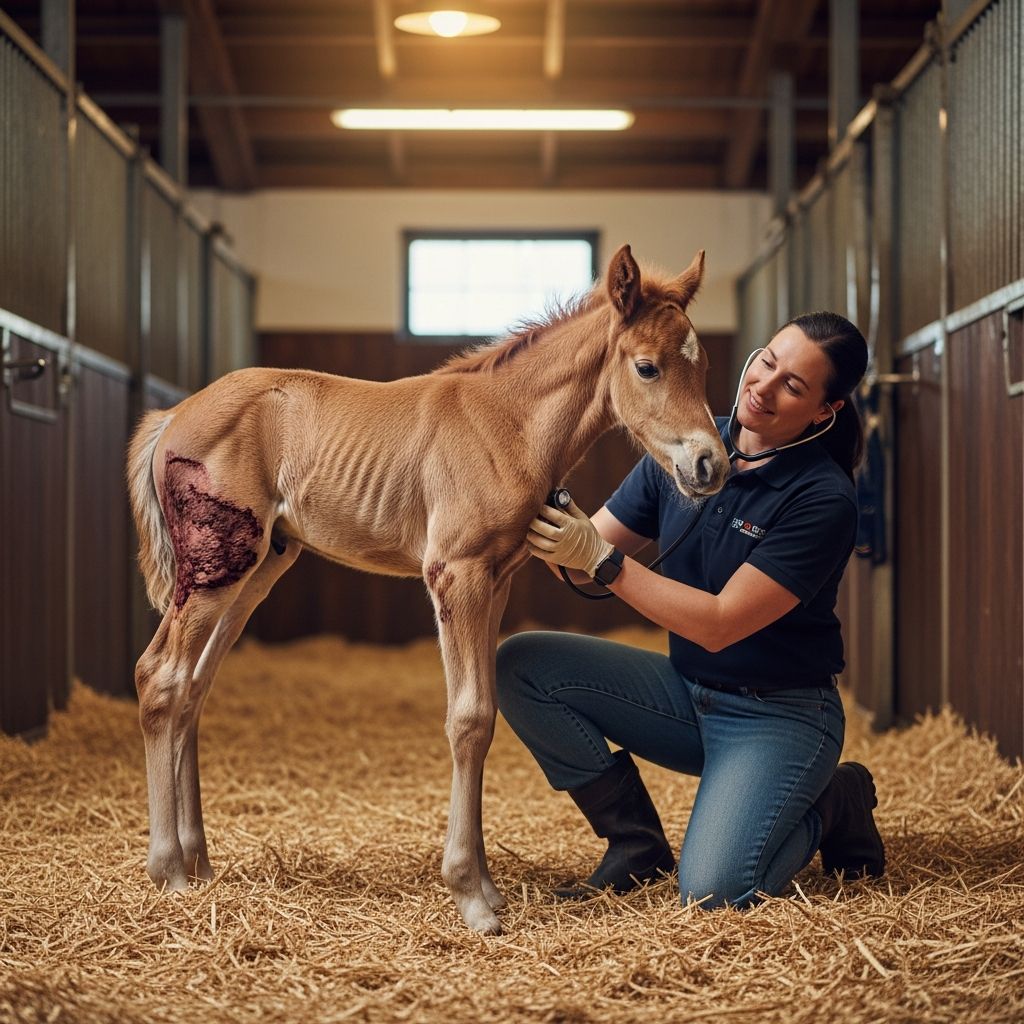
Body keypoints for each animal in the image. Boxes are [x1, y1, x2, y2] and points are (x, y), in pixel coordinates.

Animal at [126, 243, 731, 934]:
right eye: (647, 367)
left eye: (704, 364)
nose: (711, 465)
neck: (507, 424)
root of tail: (174, 414)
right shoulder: (455, 572)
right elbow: (468, 718)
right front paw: (471, 896)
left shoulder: (496, 580)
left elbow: (487, 715)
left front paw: (489, 887)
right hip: (215, 567)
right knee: (161, 677)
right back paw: (169, 871)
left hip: (253, 571)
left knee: (193, 688)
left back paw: (198, 861)